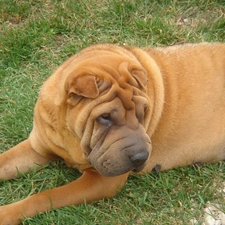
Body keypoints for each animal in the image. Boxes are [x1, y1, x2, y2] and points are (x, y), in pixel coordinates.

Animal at [0, 42, 225, 223]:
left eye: (144, 111)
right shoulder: (37, 148)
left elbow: (46, 196)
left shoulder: (102, 180)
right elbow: (5, 161)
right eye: (105, 117)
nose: (141, 157)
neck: (72, 137)